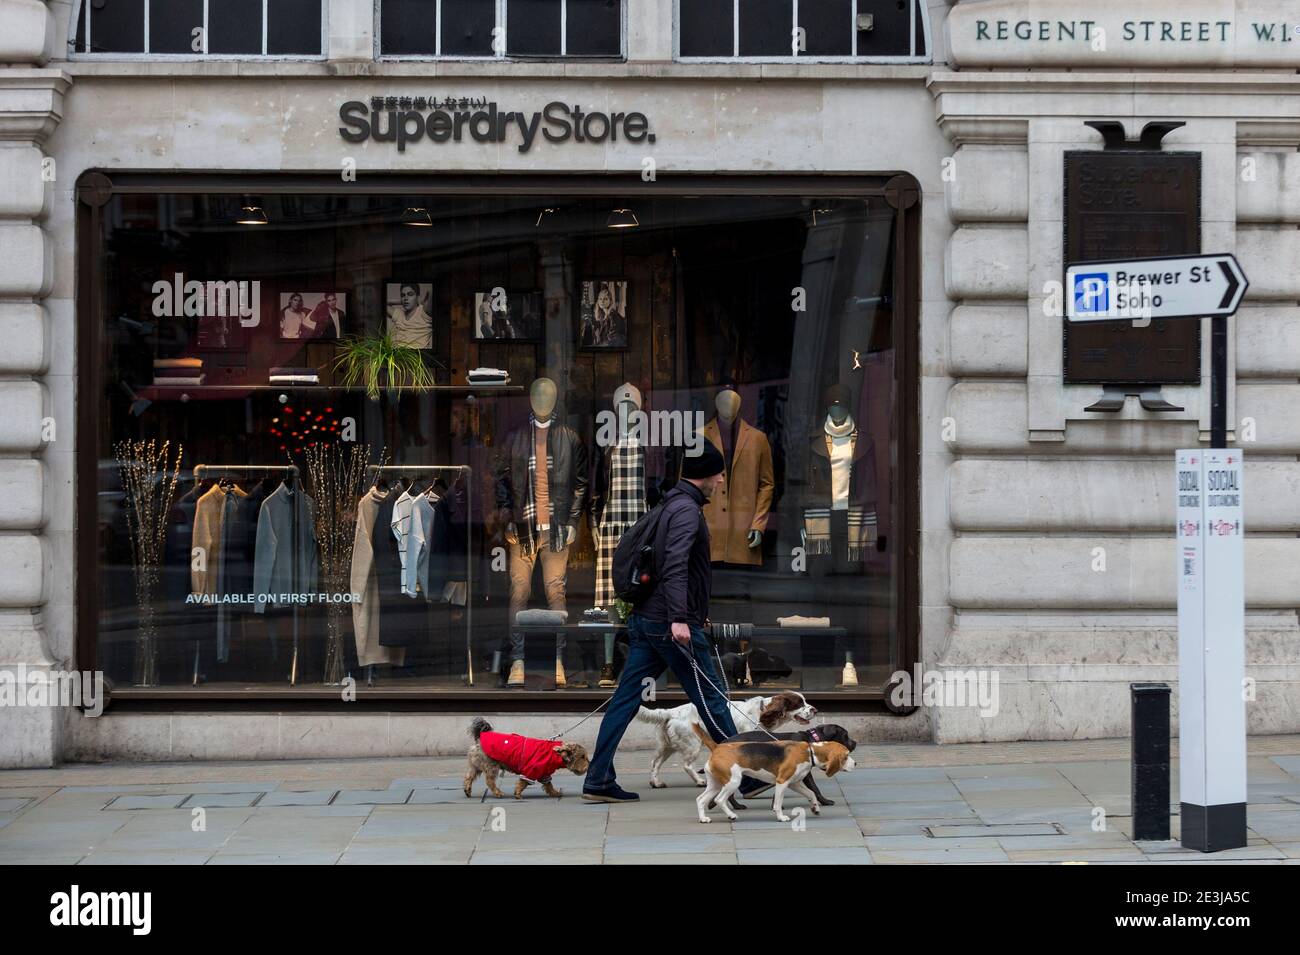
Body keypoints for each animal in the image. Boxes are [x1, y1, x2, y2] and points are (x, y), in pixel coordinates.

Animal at [637, 691, 816, 789]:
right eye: (799, 703)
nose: (814, 709)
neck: (761, 712)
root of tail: (671, 712)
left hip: (667, 746)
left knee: (655, 763)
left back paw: (656, 783)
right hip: (692, 743)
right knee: (686, 765)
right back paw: (700, 781)